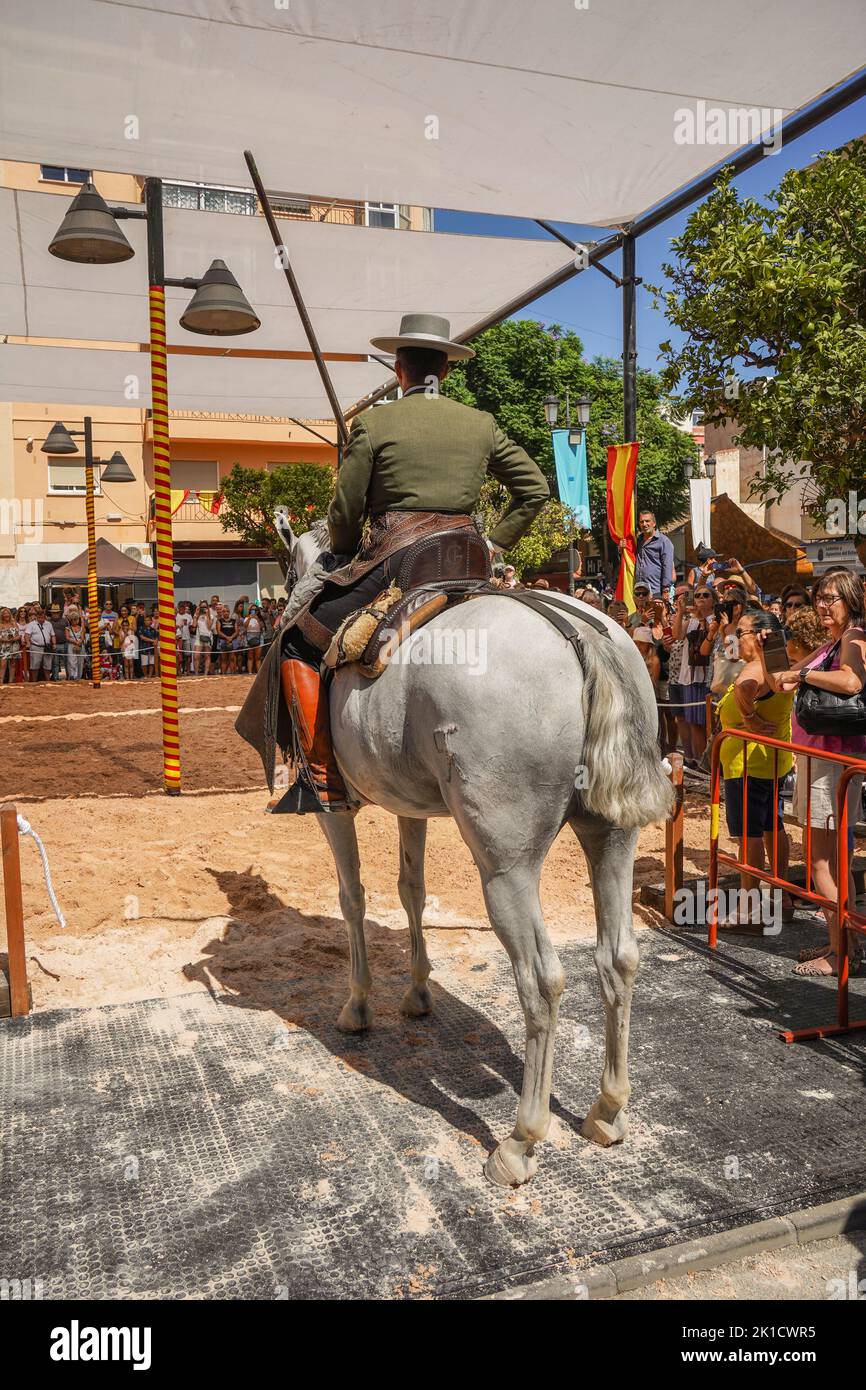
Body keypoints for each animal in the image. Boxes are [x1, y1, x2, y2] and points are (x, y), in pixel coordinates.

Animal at [273, 517, 675, 1189]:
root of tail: (581, 639)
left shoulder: (335, 809)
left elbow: (353, 898)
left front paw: (358, 1005)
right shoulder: (410, 806)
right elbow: (410, 891)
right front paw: (417, 994)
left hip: (506, 868)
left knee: (541, 980)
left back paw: (521, 1141)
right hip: (613, 839)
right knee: (618, 958)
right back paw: (607, 1111)